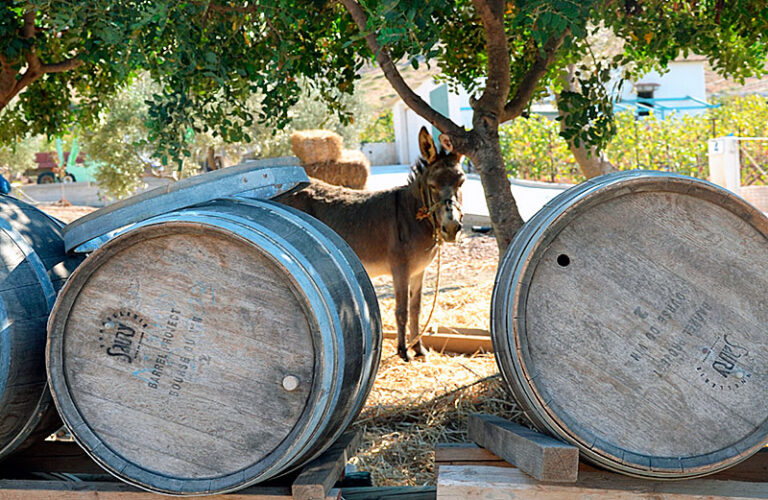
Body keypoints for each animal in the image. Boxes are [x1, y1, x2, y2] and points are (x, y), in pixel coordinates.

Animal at [277, 127, 464, 361]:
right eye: (433, 186)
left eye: (461, 183)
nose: (451, 227)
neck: (413, 214)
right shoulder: (400, 268)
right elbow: (402, 310)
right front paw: (404, 352)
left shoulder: (419, 270)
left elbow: (416, 309)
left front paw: (419, 349)